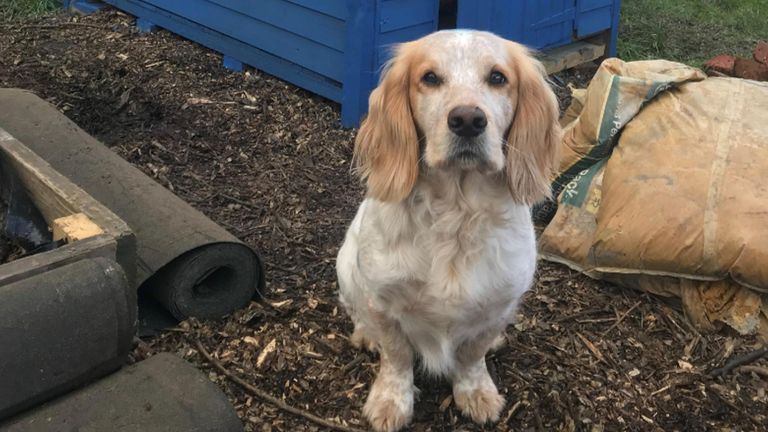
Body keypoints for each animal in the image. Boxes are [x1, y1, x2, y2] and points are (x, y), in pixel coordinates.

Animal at [334, 28, 560, 430]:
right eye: (430, 78)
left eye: (498, 77)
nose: (468, 119)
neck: (456, 212)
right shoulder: (382, 300)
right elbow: (396, 356)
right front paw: (390, 401)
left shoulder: (498, 304)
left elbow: (472, 354)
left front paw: (475, 392)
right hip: (345, 266)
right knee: (356, 311)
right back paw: (365, 335)